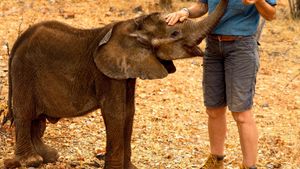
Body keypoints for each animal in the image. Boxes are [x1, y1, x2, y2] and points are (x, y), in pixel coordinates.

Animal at [1, 0, 227, 168]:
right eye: (174, 34)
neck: (132, 25)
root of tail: (17, 43)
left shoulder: (127, 71)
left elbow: (129, 112)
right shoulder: (106, 73)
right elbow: (116, 113)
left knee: (37, 119)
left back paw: (48, 156)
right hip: (23, 72)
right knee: (25, 113)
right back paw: (31, 161)